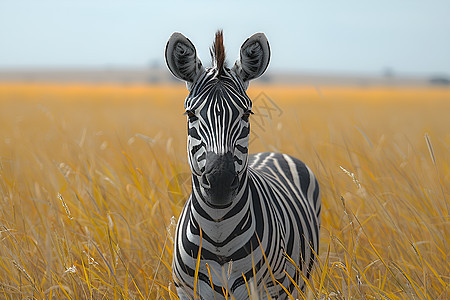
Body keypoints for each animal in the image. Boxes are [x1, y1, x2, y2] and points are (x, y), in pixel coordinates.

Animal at [164, 31, 320, 300]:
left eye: (246, 114)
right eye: (191, 115)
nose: (220, 183)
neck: (218, 233)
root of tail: (271, 152)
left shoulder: (267, 289)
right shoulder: (186, 291)